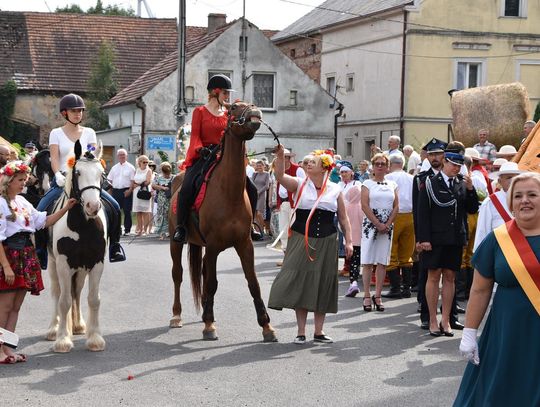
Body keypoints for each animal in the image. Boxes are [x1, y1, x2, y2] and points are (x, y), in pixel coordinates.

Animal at [45, 141, 107, 354]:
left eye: (101, 174)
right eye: (78, 172)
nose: (93, 206)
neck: (82, 227)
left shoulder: (97, 263)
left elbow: (94, 299)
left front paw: (95, 338)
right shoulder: (63, 264)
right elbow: (63, 302)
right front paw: (63, 340)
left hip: (80, 269)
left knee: (77, 292)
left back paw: (79, 325)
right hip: (54, 265)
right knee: (57, 293)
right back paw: (54, 329)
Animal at [168, 100, 278, 342]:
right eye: (234, 108)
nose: (255, 112)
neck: (229, 192)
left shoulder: (245, 245)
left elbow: (253, 283)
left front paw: (267, 326)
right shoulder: (213, 246)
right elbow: (211, 284)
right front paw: (209, 325)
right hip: (175, 242)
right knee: (178, 275)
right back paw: (177, 316)